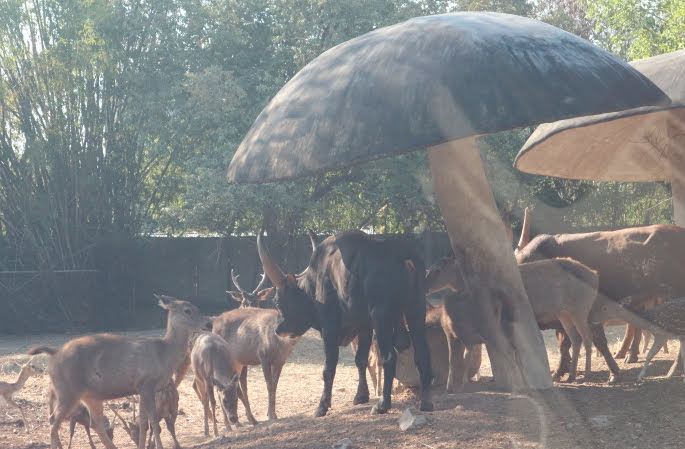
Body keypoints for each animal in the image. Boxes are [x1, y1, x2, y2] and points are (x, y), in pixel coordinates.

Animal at [27, 294, 208, 448]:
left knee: (94, 423)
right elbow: (154, 421)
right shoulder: (146, 383)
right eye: (187, 310)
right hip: (67, 390)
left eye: (197, 308)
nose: (207, 324)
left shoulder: (141, 388)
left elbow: (144, 422)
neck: (163, 354)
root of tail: (54, 354)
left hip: (89, 395)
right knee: (53, 421)